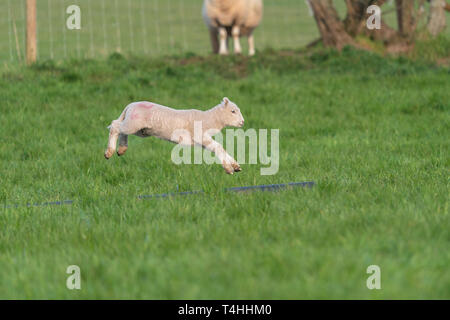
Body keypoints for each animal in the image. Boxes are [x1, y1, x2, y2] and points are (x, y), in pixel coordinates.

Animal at [104, 98, 246, 175]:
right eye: (233, 111)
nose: (243, 122)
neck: (209, 119)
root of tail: (130, 105)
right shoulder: (200, 136)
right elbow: (218, 147)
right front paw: (229, 168)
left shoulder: (201, 141)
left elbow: (220, 148)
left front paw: (235, 165)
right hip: (134, 123)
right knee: (115, 126)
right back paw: (109, 152)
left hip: (140, 129)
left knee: (121, 130)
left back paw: (121, 149)